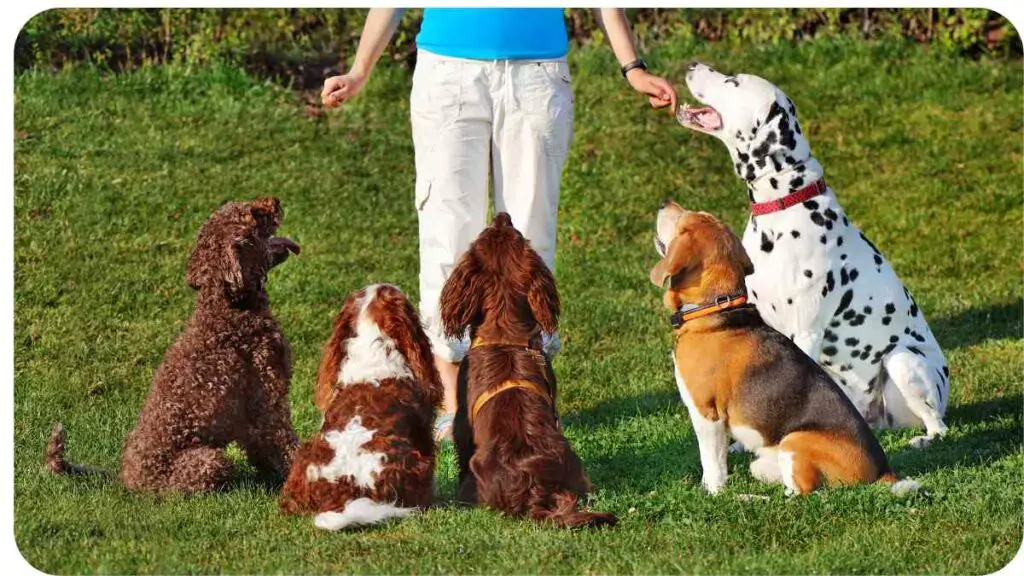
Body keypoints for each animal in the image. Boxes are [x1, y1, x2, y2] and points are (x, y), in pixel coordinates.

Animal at [47, 195, 299, 487]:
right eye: (255, 214)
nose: (275, 200)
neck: (226, 307)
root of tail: (125, 479)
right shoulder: (267, 400)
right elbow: (285, 444)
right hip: (209, 461)